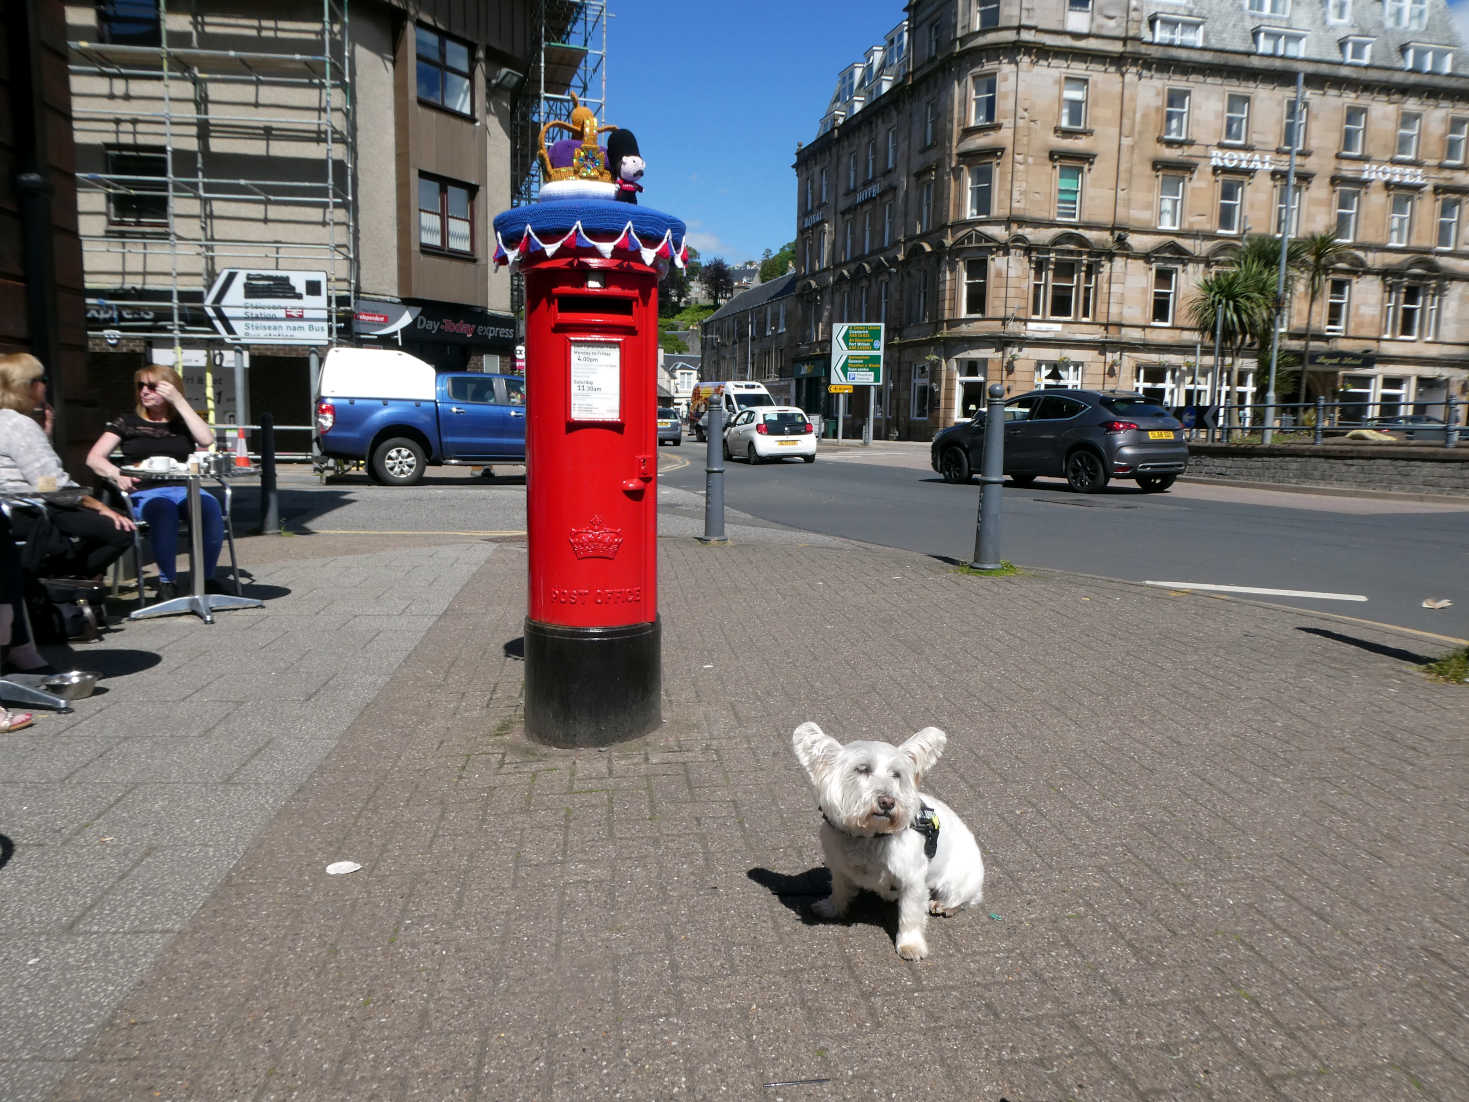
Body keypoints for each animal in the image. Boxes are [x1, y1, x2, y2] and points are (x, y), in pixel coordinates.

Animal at [793, 719, 987, 963]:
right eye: (862, 769)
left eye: (896, 774)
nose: (887, 802)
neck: (869, 836)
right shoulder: (838, 866)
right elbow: (839, 888)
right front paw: (832, 907)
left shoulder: (913, 881)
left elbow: (910, 915)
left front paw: (910, 945)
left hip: (958, 882)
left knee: (965, 899)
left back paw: (943, 905)